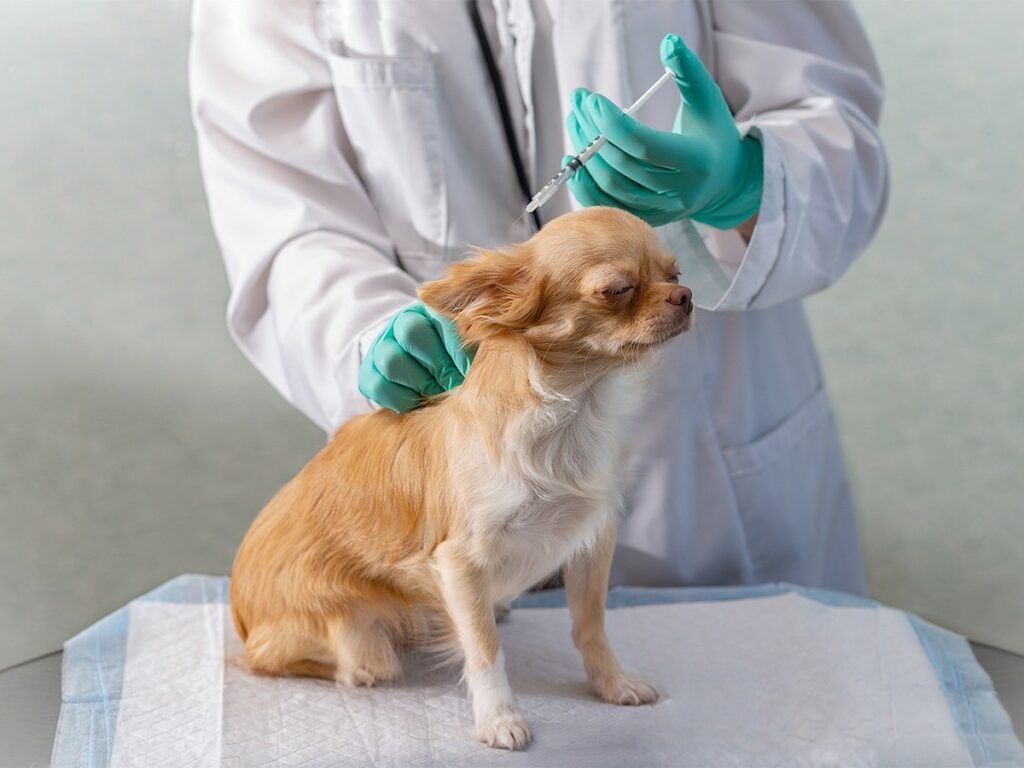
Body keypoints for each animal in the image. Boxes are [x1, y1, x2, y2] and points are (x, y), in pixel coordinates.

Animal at [230, 205, 696, 753]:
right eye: (617, 289)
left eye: (676, 276)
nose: (687, 297)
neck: (577, 408)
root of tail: (241, 612)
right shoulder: (462, 561)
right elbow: (484, 649)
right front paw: (498, 717)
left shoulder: (592, 539)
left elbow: (591, 624)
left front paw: (612, 683)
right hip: (351, 635)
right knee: (276, 660)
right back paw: (354, 669)